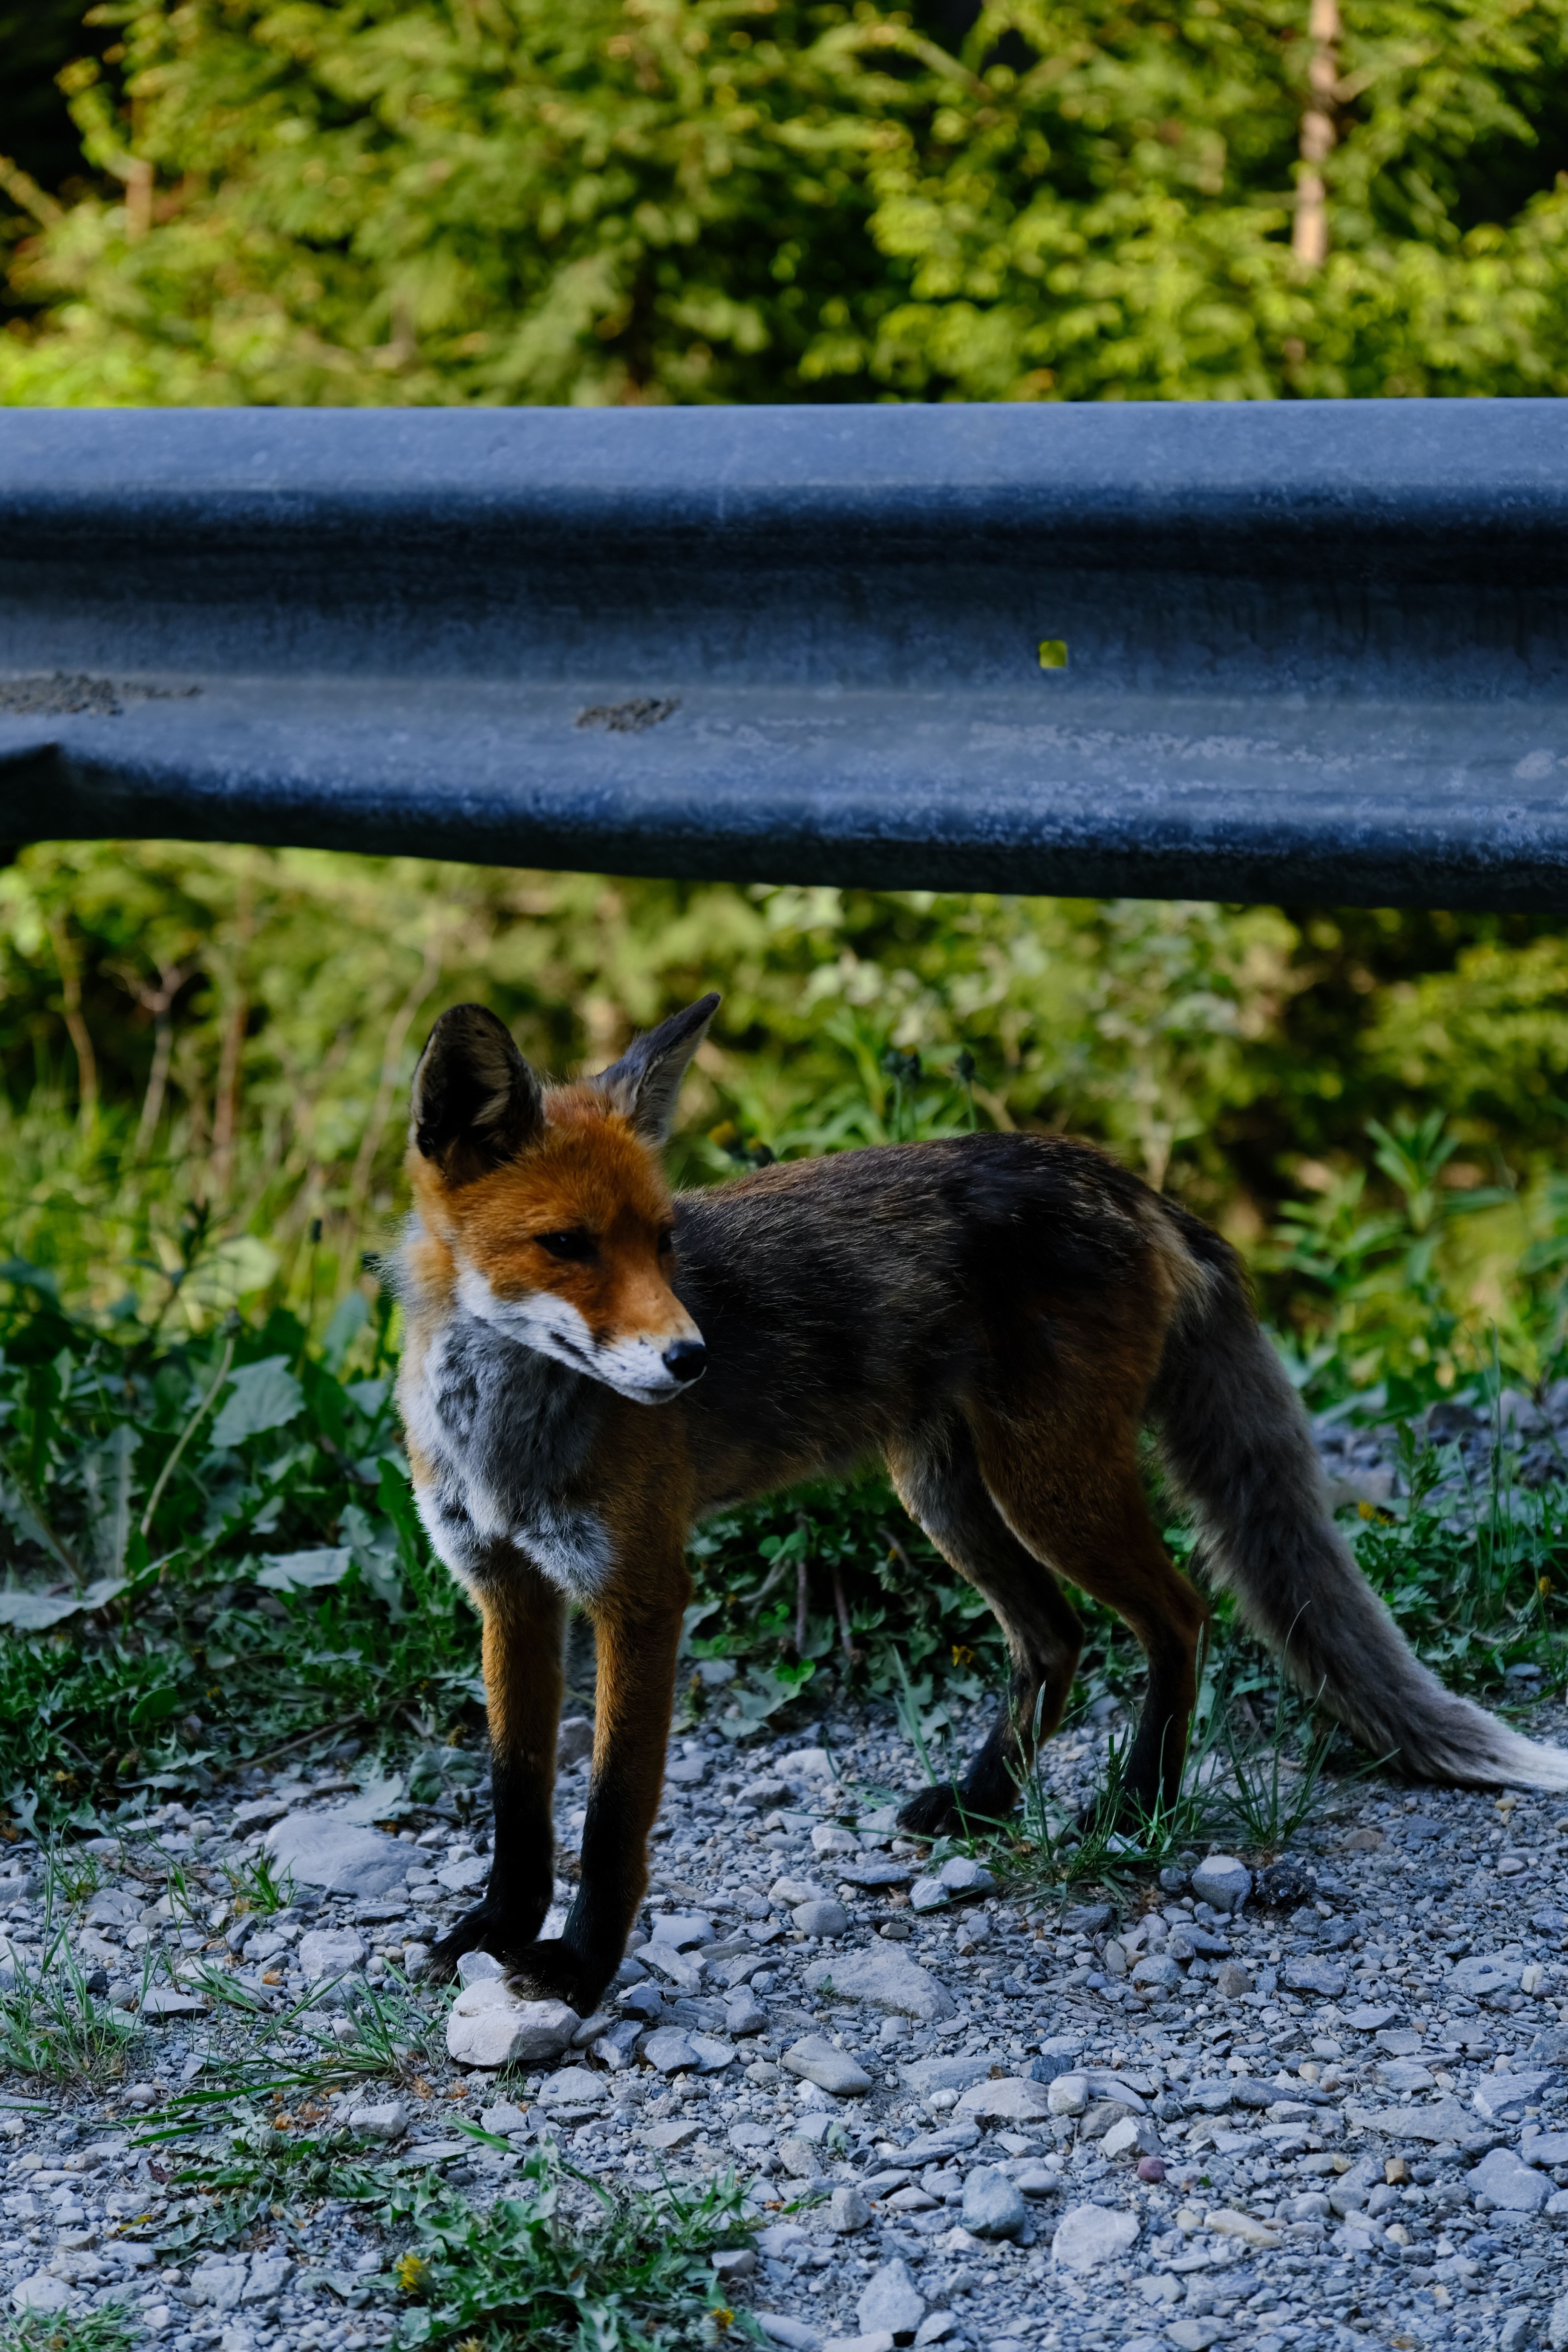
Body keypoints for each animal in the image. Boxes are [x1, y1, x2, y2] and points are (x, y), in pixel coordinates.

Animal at [394, 992, 1568, 2014]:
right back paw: (983, 1800)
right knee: (1055, 1637)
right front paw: (495, 1929)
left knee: (1178, 1615)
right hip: (949, 1495)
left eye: (664, 1240)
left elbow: (611, 1814)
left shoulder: (641, 1591)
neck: (502, 1438)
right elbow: (517, 1795)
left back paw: (1137, 1807)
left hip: (1049, 1484)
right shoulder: (508, 1591)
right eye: (569, 1245)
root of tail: (1121, 1176)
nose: (692, 1361)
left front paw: (579, 1970)